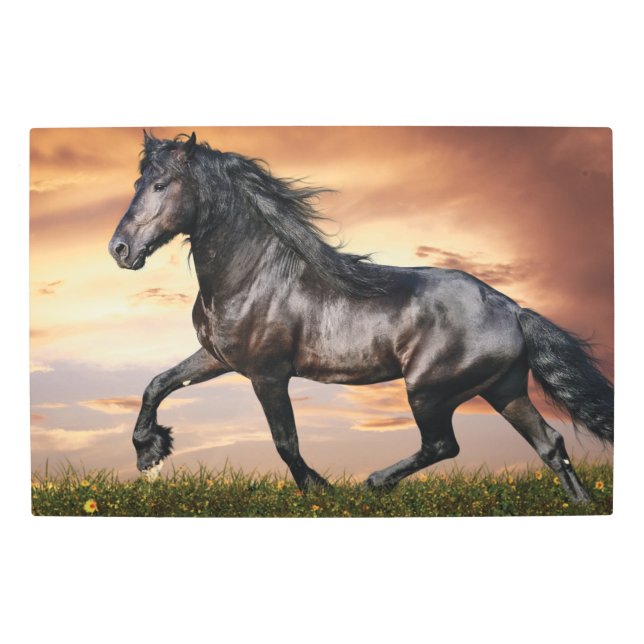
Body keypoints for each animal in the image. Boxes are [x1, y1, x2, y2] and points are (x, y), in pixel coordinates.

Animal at [108, 131, 613, 503]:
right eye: (136, 184)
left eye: (160, 185)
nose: (120, 250)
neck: (253, 275)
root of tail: (511, 308)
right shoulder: (219, 358)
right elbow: (157, 384)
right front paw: (150, 453)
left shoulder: (268, 374)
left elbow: (285, 442)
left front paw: (320, 490)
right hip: (503, 389)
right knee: (550, 445)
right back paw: (580, 505)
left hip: (429, 391)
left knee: (443, 445)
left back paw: (372, 483)